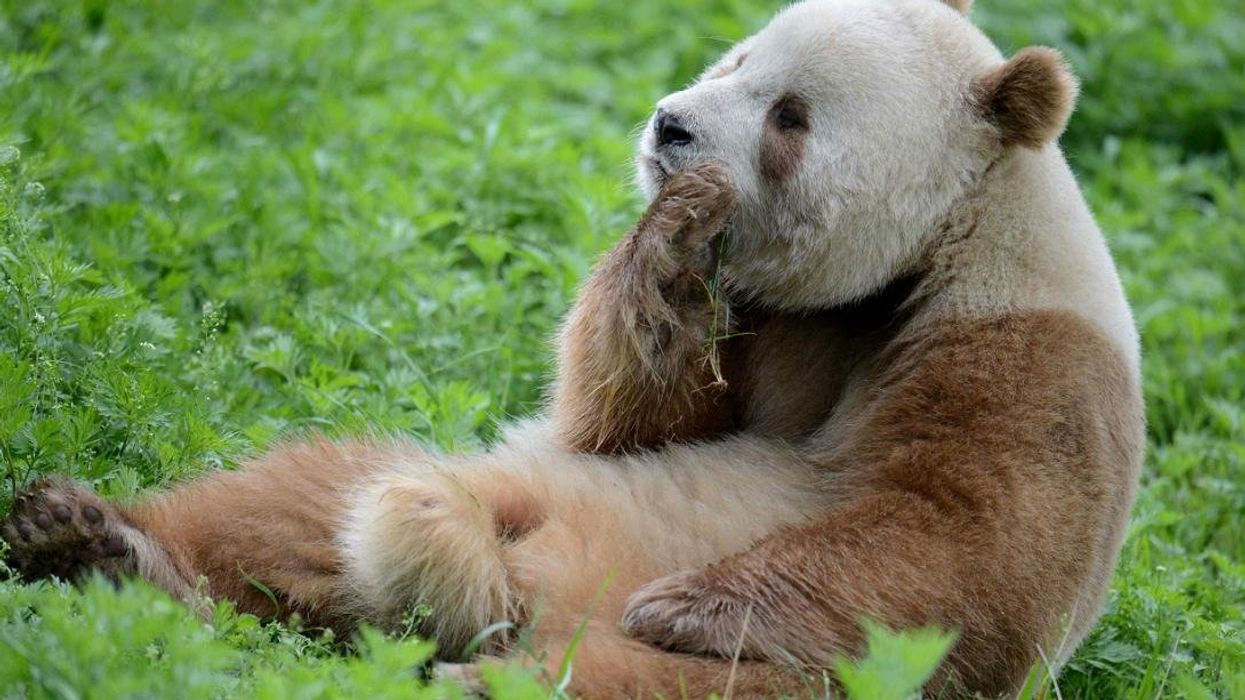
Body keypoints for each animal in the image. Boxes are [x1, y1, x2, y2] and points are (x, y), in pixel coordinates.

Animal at [2, 0, 1143, 696]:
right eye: (739, 55)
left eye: (790, 115)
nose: (672, 126)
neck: (917, 253)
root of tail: (508, 603)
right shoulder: (766, 320)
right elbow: (627, 421)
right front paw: (670, 236)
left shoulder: (1025, 352)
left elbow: (960, 541)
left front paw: (690, 601)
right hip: (500, 483)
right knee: (296, 499)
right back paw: (98, 546)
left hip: (782, 676)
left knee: (658, 682)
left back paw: (481, 678)